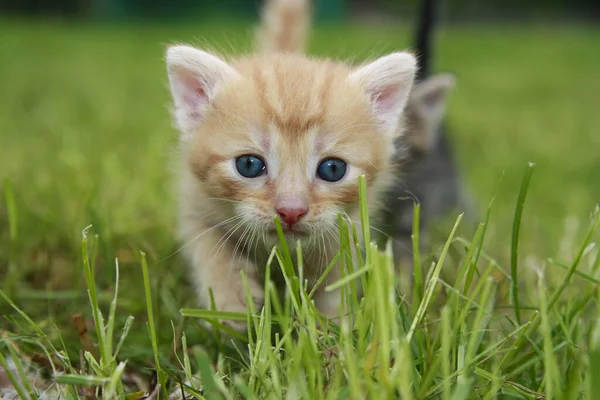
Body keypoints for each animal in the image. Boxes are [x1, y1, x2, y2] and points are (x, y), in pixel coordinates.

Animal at [164, 0, 418, 332]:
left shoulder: (345, 230)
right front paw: (229, 302)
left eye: (332, 169)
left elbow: (334, 279)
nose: (291, 211)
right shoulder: (195, 204)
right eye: (249, 165)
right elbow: (210, 248)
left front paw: (333, 329)